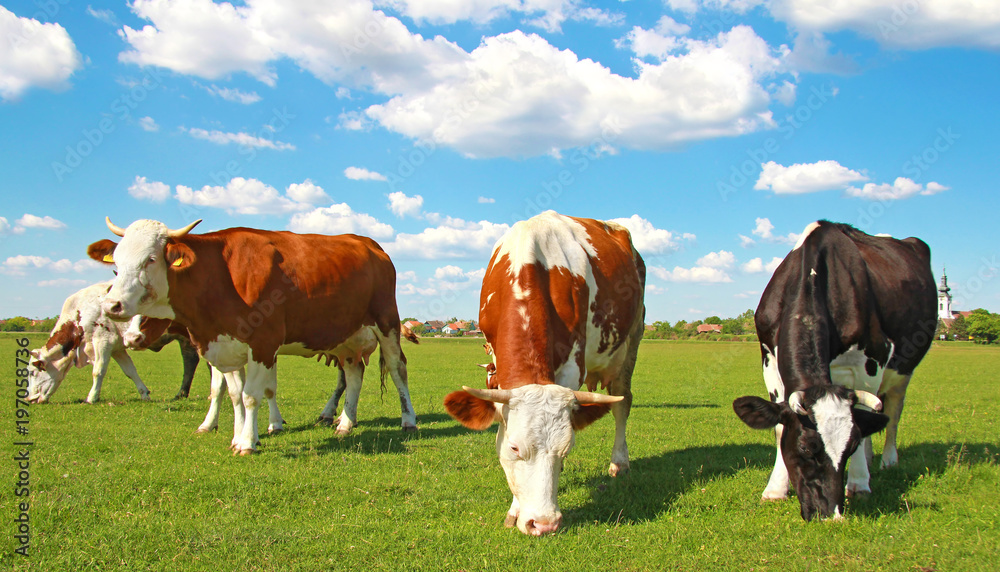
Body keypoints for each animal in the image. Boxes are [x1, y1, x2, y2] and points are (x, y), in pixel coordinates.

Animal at [88, 217, 420, 454]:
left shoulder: (263, 343)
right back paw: (346, 423)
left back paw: (408, 420)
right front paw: (239, 436)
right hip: (346, 338)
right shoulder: (227, 345)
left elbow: (252, 395)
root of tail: (370, 243)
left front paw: (248, 442)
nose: (112, 305)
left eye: (151, 259)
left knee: (397, 368)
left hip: (386, 321)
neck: (220, 275)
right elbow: (234, 394)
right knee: (353, 375)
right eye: (117, 264)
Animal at [442, 211, 644, 536]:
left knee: (622, 404)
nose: (545, 524)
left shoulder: (573, 367)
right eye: (514, 447)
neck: (528, 264)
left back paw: (619, 463)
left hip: (632, 339)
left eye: (566, 449)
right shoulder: (496, 359)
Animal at [736, 220, 936, 524]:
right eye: (806, 448)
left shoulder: (872, 359)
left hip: (904, 371)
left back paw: (887, 461)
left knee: (892, 414)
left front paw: (859, 483)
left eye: (849, 448)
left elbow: (865, 419)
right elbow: (780, 427)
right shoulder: (769, 359)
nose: (829, 514)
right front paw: (775, 489)